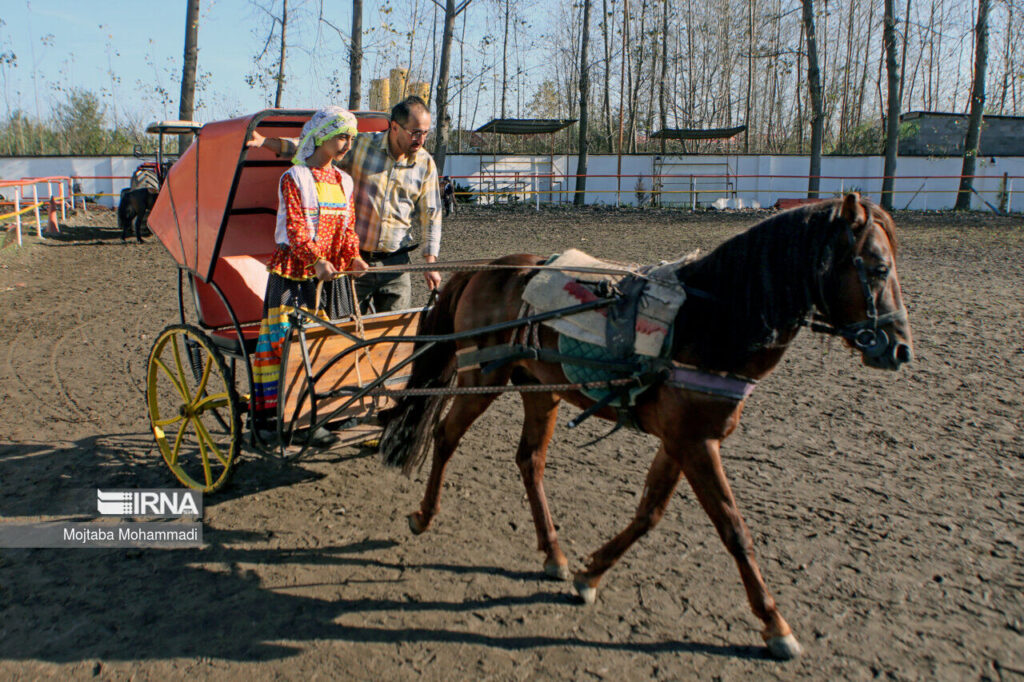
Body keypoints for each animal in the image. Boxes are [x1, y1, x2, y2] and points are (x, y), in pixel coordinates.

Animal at [380, 192, 917, 659]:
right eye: (877, 267)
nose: (900, 349)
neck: (710, 323)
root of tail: (488, 268)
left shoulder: (683, 441)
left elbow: (649, 513)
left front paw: (591, 574)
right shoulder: (696, 444)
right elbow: (733, 529)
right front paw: (775, 625)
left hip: (539, 389)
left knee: (529, 461)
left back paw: (554, 553)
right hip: (483, 378)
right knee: (446, 437)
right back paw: (424, 515)